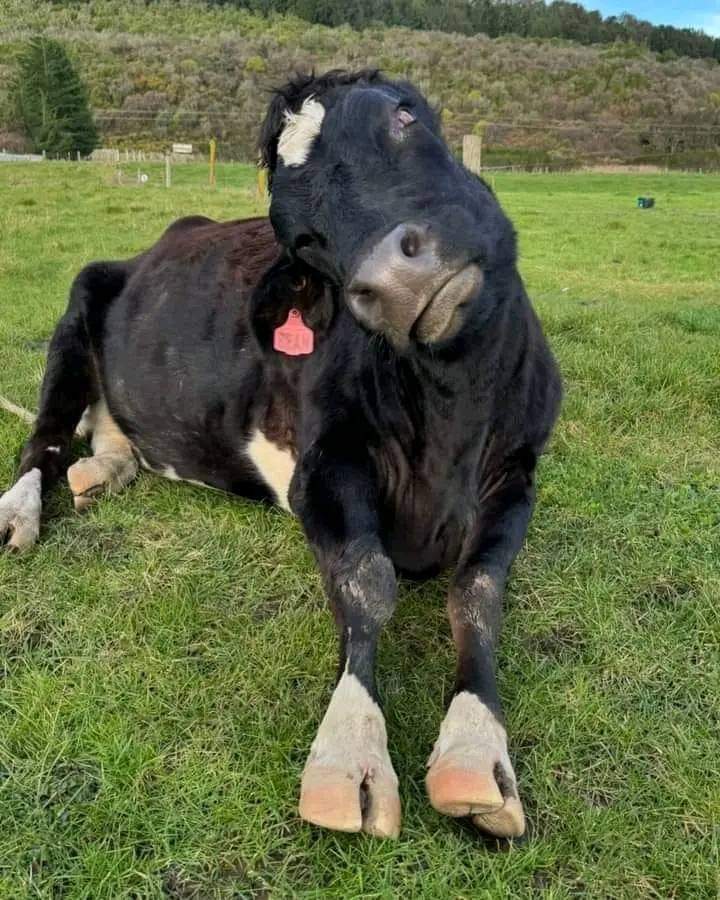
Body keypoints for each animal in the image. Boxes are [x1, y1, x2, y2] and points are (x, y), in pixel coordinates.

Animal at [0, 69, 561, 841]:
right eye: (303, 239)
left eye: (403, 117)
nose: (390, 281)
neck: (453, 404)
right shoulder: (321, 471)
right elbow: (367, 580)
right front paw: (350, 750)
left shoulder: (518, 473)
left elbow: (476, 592)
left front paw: (477, 751)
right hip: (79, 300)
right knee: (47, 436)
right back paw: (19, 511)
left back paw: (103, 470)